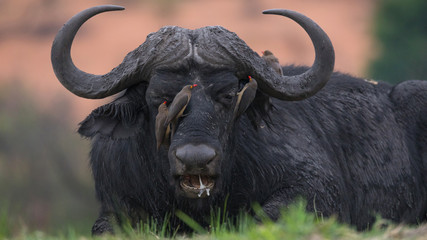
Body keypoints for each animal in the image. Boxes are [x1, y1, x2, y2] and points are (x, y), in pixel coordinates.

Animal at [51, 4, 427, 235]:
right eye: (159, 97)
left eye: (228, 95)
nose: (196, 159)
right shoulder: (116, 204)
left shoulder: (314, 188)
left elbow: (263, 215)